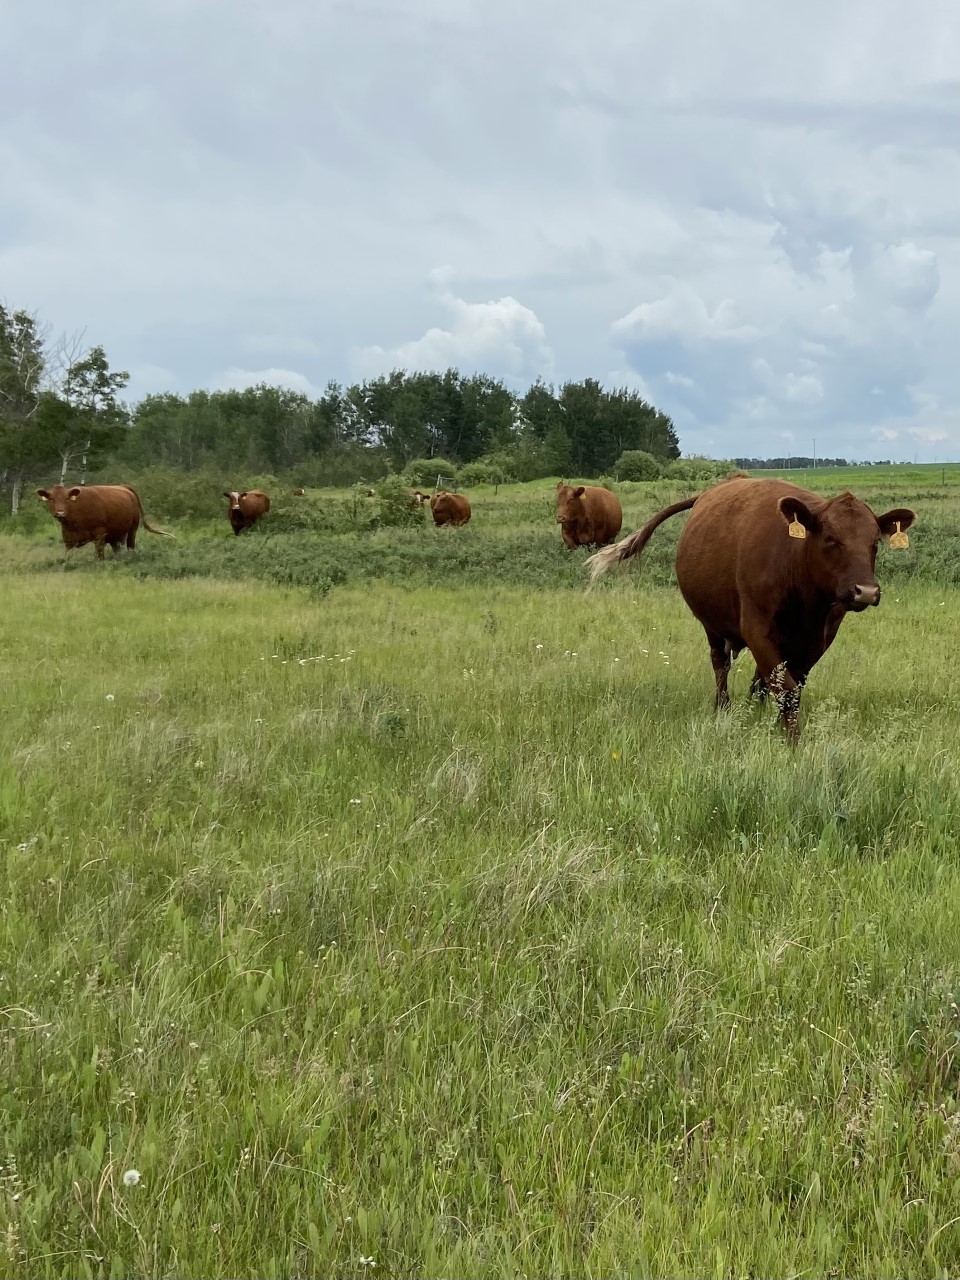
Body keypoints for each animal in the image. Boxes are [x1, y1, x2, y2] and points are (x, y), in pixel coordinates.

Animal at [36, 481, 175, 558]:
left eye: (66, 499)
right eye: (51, 499)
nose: (60, 513)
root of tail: (124, 486)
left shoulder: (99, 535)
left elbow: (100, 556)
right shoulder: (67, 539)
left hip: (132, 530)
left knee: (130, 547)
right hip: (114, 536)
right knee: (117, 550)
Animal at [586, 478, 916, 742]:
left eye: (874, 543)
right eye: (830, 538)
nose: (866, 591)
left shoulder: (819, 638)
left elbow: (787, 685)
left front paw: (776, 726)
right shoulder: (757, 628)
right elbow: (786, 688)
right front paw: (793, 741)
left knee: (760, 679)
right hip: (712, 626)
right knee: (720, 665)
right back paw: (724, 708)